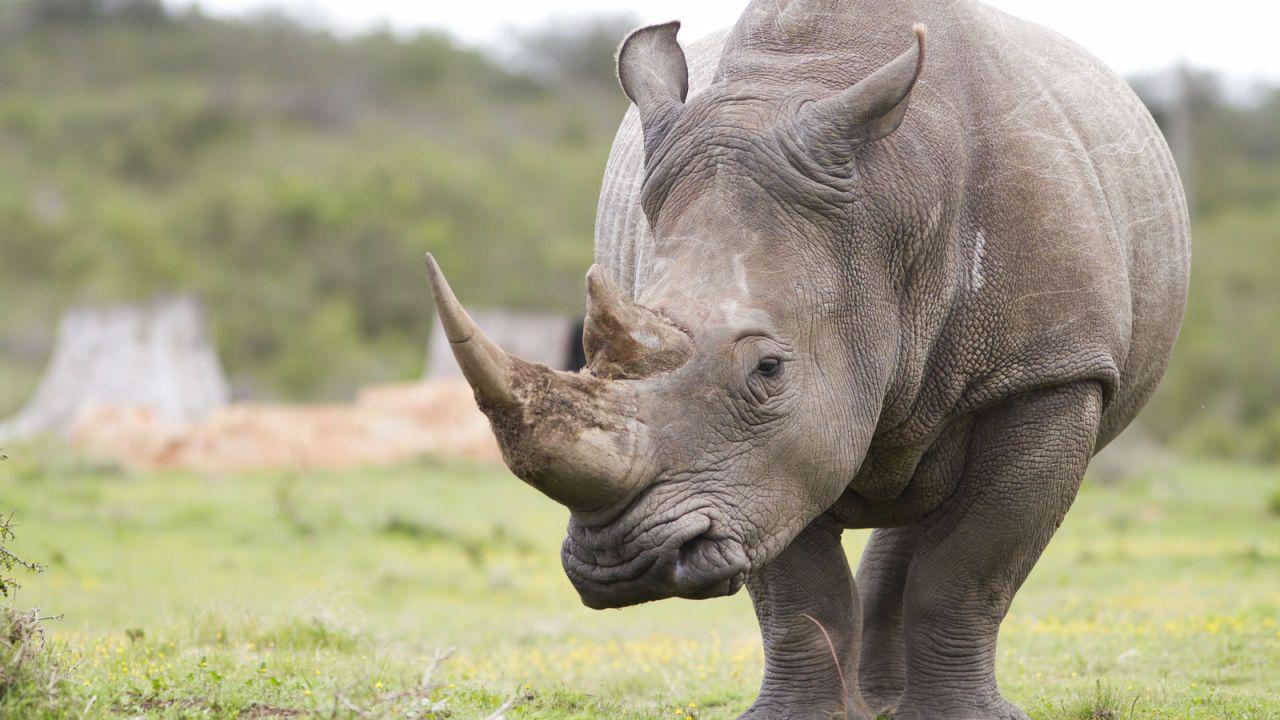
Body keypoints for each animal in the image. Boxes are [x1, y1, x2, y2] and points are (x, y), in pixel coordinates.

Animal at [425, 0, 1190, 717]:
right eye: (584, 353)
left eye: (769, 369)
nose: (622, 563)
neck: (890, 210)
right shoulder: (757, 468)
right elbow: (798, 588)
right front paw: (798, 715)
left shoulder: (1050, 368)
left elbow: (970, 568)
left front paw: (969, 718)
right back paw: (876, 702)